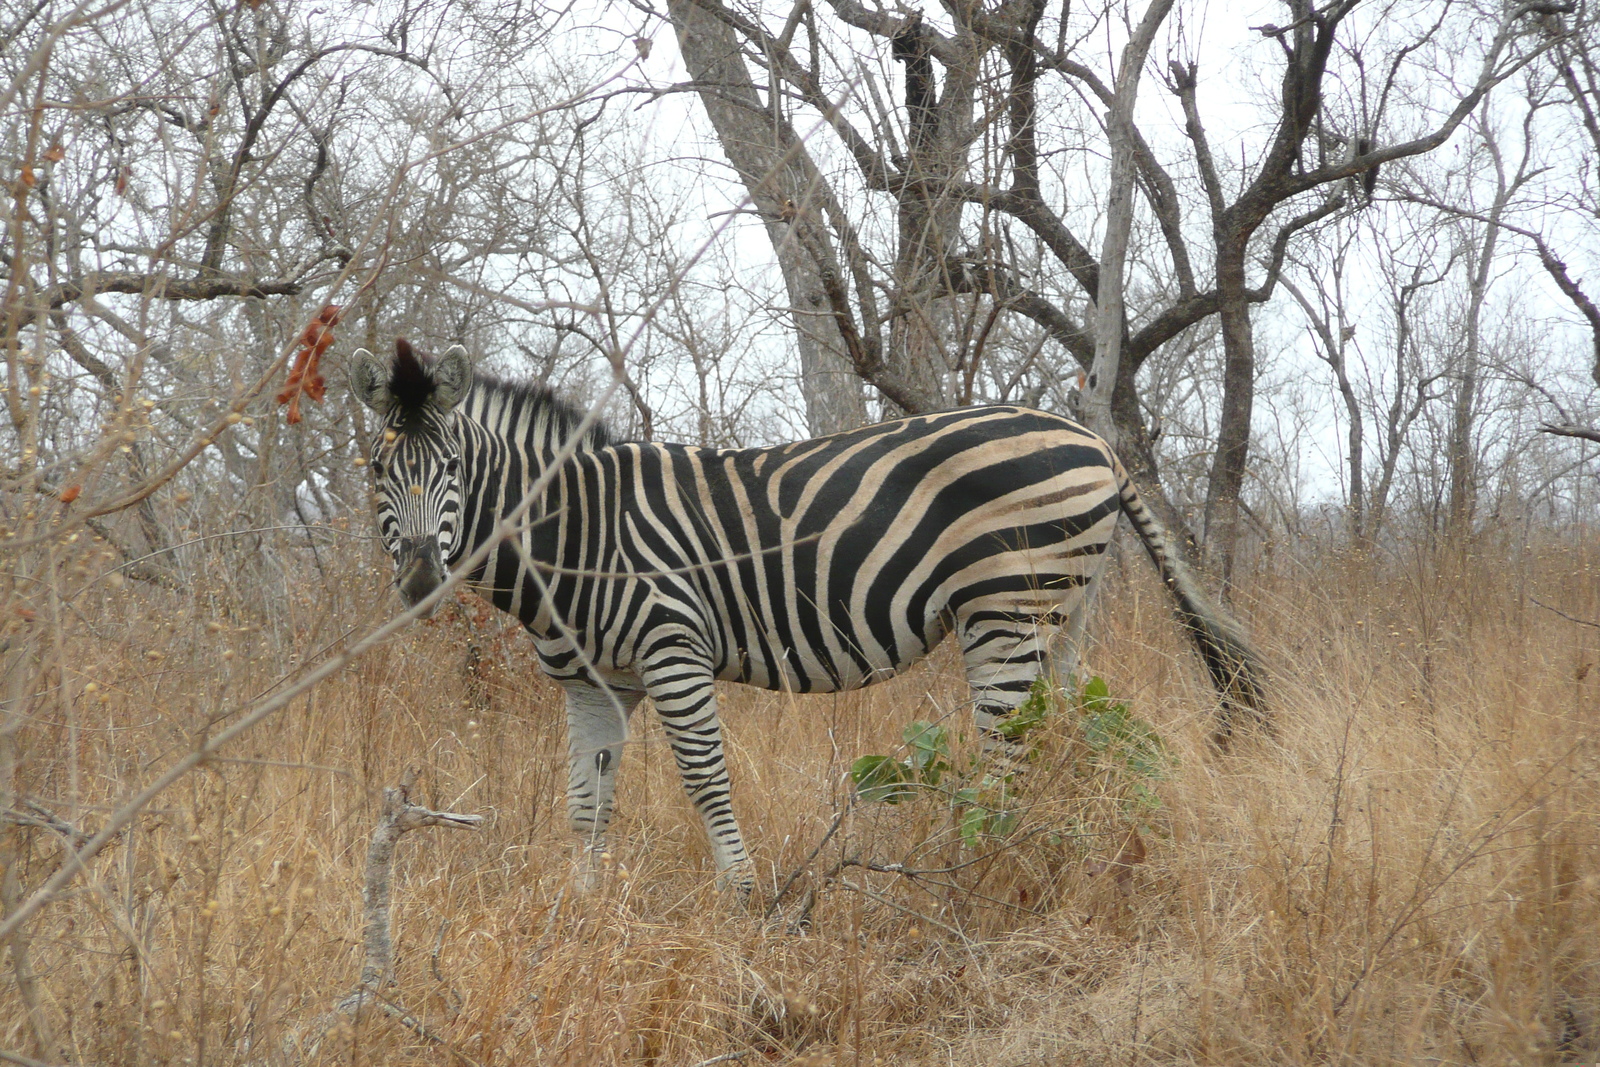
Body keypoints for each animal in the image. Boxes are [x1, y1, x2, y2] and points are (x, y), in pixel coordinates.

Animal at [350, 340, 1260, 895]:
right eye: (377, 471)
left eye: (453, 467)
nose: (422, 578)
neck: (579, 534)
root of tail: (1093, 440)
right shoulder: (593, 684)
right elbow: (586, 804)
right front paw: (580, 912)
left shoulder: (673, 649)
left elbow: (706, 781)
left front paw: (745, 901)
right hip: (1061, 613)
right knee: (1064, 743)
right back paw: (1055, 858)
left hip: (1007, 609)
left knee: (1010, 759)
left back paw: (980, 874)